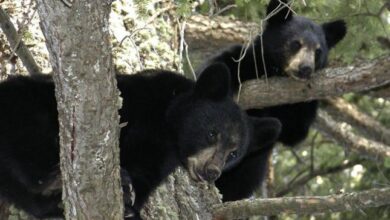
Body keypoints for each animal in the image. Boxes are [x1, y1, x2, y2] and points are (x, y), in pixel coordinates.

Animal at [0, 62, 282, 219]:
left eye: (234, 153)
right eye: (212, 133)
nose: (211, 171)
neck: (168, 123)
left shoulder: (160, 157)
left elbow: (143, 175)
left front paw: (130, 201)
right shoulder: (139, 101)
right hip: (25, 107)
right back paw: (52, 180)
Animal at [197, 0, 346, 201]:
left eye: (318, 51)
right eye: (296, 43)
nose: (305, 68)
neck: (275, 70)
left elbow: (295, 131)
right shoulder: (246, 59)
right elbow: (217, 69)